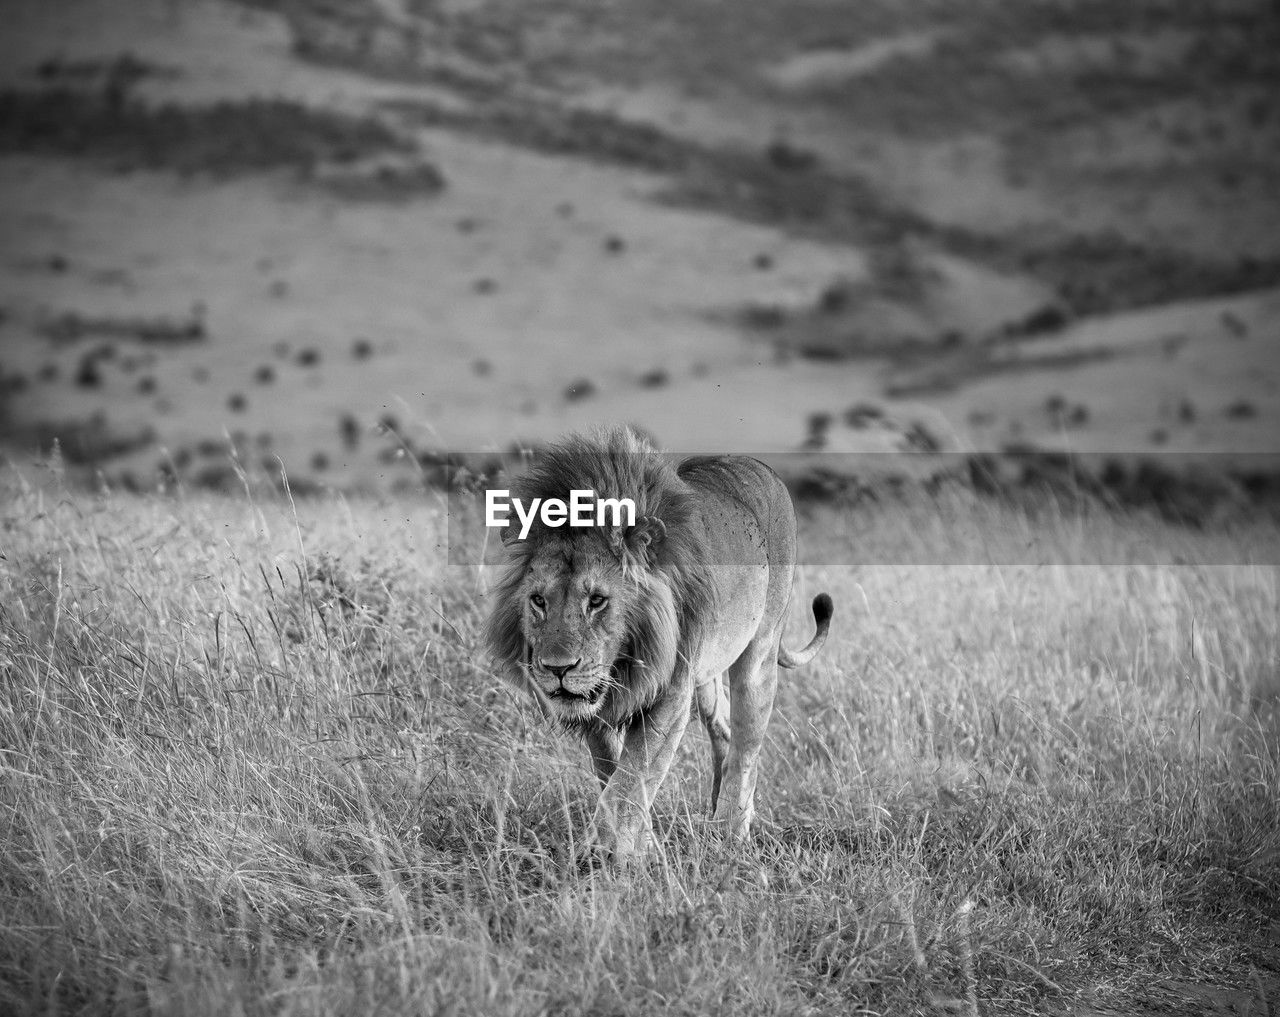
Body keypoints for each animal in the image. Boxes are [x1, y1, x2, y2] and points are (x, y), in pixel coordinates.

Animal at [483, 426, 833, 858]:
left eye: (596, 600)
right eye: (538, 600)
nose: (557, 669)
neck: (625, 662)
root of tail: (757, 464)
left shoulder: (670, 694)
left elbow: (632, 773)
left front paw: (604, 852)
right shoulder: (600, 705)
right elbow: (613, 771)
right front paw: (640, 843)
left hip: (760, 651)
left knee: (747, 744)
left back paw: (729, 831)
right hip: (706, 673)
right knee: (723, 729)